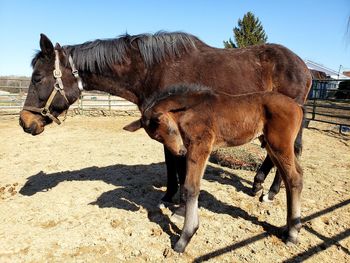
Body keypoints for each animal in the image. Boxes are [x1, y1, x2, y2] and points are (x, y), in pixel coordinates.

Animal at [18, 31, 312, 204]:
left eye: (37, 77)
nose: (25, 122)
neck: (152, 70)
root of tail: (305, 68)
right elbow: (171, 161)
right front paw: (172, 195)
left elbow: (175, 161)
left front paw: (175, 198)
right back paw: (259, 185)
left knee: (287, 153)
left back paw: (270, 191)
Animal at [123, 84, 304, 254]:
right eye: (157, 138)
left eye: (170, 129)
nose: (180, 152)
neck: (189, 109)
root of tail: (298, 106)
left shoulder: (200, 145)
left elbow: (190, 187)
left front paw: (185, 237)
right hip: (270, 144)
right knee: (295, 175)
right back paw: (288, 226)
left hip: (279, 145)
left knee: (294, 178)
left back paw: (292, 233)